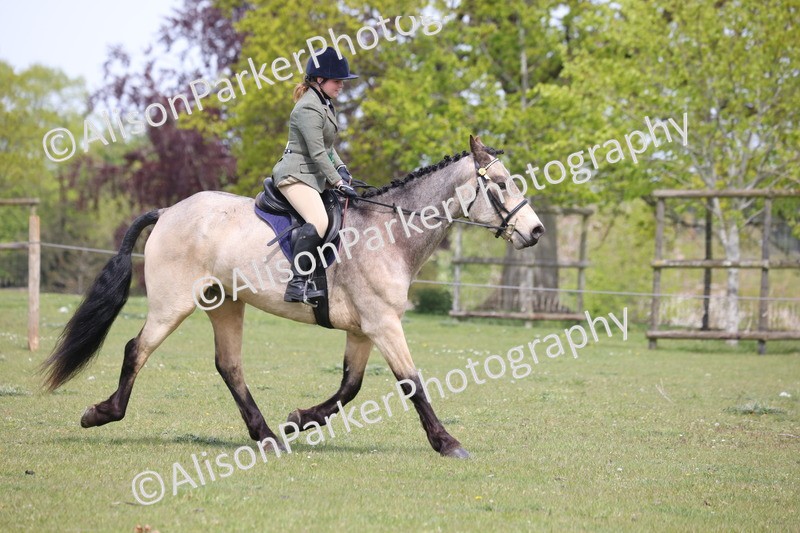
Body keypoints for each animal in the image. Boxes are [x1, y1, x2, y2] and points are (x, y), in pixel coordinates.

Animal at [41, 135, 544, 458]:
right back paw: (101, 413)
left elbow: (349, 387)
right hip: (173, 304)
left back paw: (268, 436)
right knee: (137, 349)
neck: (391, 233)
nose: (535, 231)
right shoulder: (383, 324)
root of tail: (168, 211)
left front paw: (299, 419)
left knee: (229, 366)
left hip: (225, 303)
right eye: (501, 184)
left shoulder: (364, 330)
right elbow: (412, 383)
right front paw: (448, 444)